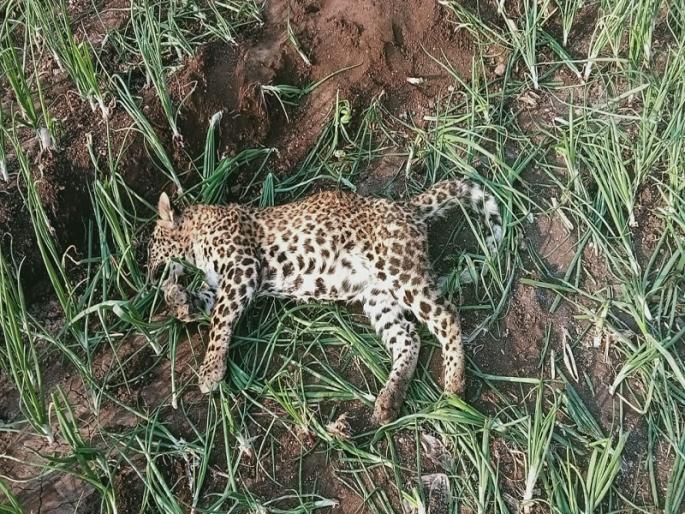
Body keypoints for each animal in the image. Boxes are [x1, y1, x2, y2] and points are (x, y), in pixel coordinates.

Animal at [147, 179, 503, 424]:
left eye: (150, 246)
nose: (148, 276)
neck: (194, 234)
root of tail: (407, 207)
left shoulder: (242, 268)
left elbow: (220, 320)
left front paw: (211, 369)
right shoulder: (226, 282)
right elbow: (204, 302)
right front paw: (179, 299)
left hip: (399, 271)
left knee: (447, 316)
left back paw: (454, 388)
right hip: (377, 296)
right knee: (408, 338)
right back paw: (390, 400)